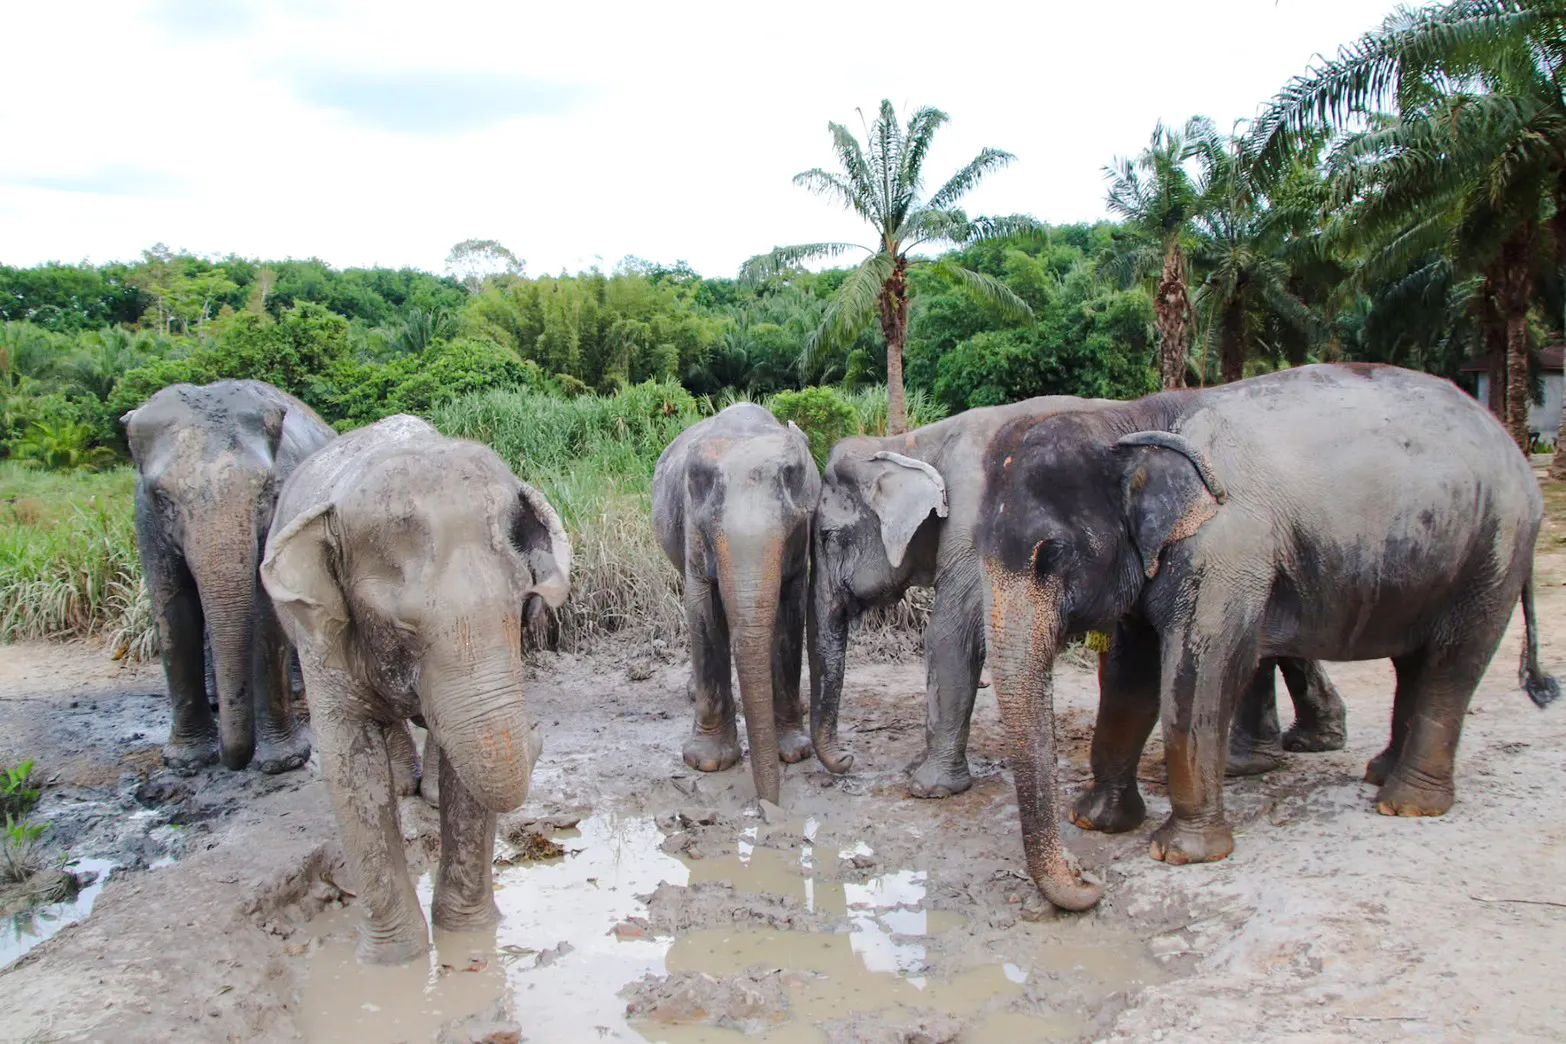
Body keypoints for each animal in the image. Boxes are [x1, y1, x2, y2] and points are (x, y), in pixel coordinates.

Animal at [122, 380, 335, 775]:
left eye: (266, 490)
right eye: (162, 496)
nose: (233, 761)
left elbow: (267, 609)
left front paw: (282, 763)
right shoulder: (144, 514)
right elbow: (173, 609)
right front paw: (185, 762)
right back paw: (216, 701)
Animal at [259, 414, 572, 964]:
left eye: (520, 604)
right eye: (403, 626)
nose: (537, 732)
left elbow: (466, 771)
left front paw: (466, 936)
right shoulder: (322, 636)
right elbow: (350, 768)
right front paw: (394, 963)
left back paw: (423, 791)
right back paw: (405, 785)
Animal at [653, 403, 821, 806]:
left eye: (794, 525)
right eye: (708, 531)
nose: (769, 808)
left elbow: (791, 611)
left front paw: (795, 752)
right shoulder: (693, 529)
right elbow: (702, 610)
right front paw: (707, 763)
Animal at [808, 396, 1347, 797]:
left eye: (828, 538)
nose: (849, 758)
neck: (911, 441)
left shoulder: (972, 528)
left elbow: (949, 635)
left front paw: (928, 787)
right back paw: (1289, 749)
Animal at [975, 363, 1559, 911]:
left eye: (1052, 555)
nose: (1088, 877)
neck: (1135, 419)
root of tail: (1513, 446)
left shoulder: (1226, 546)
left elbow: (1196, 675)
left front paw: (1180, 853)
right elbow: (1128, 677)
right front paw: (1098, 820)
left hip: (1492, 555)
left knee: (1451, 664)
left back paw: (1408, 804)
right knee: (1412, 663)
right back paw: (1380, 776)